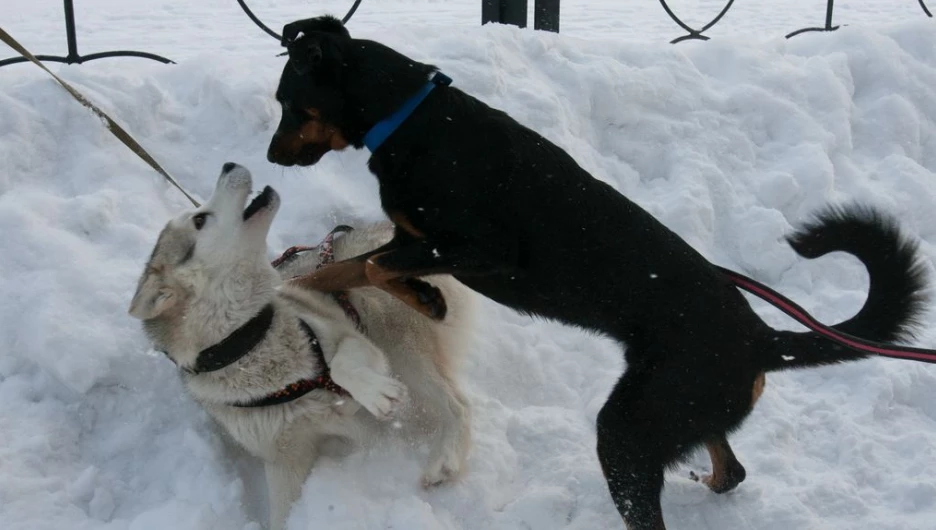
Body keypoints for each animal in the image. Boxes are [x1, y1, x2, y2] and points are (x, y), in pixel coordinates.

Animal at [126, 163, 476, 524]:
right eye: (199, 219)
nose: (228, 165)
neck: (251, 341)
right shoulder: (284, 459)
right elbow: (281, 514)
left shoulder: (355, 340)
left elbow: (339, 367)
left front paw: (372, 393)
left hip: (400, 346)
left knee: (459, 404)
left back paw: (444, 458)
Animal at [266, 14, 928, 524]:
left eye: (286, 103)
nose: (271, 155)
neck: (409, 117)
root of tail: (762, 338)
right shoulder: (411, 239)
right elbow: (353, 269)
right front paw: (336, 287)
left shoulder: (482, 248)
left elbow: (371, 269)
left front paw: (418, 297)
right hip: (674, 409)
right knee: (732, 469)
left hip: (627, 430)